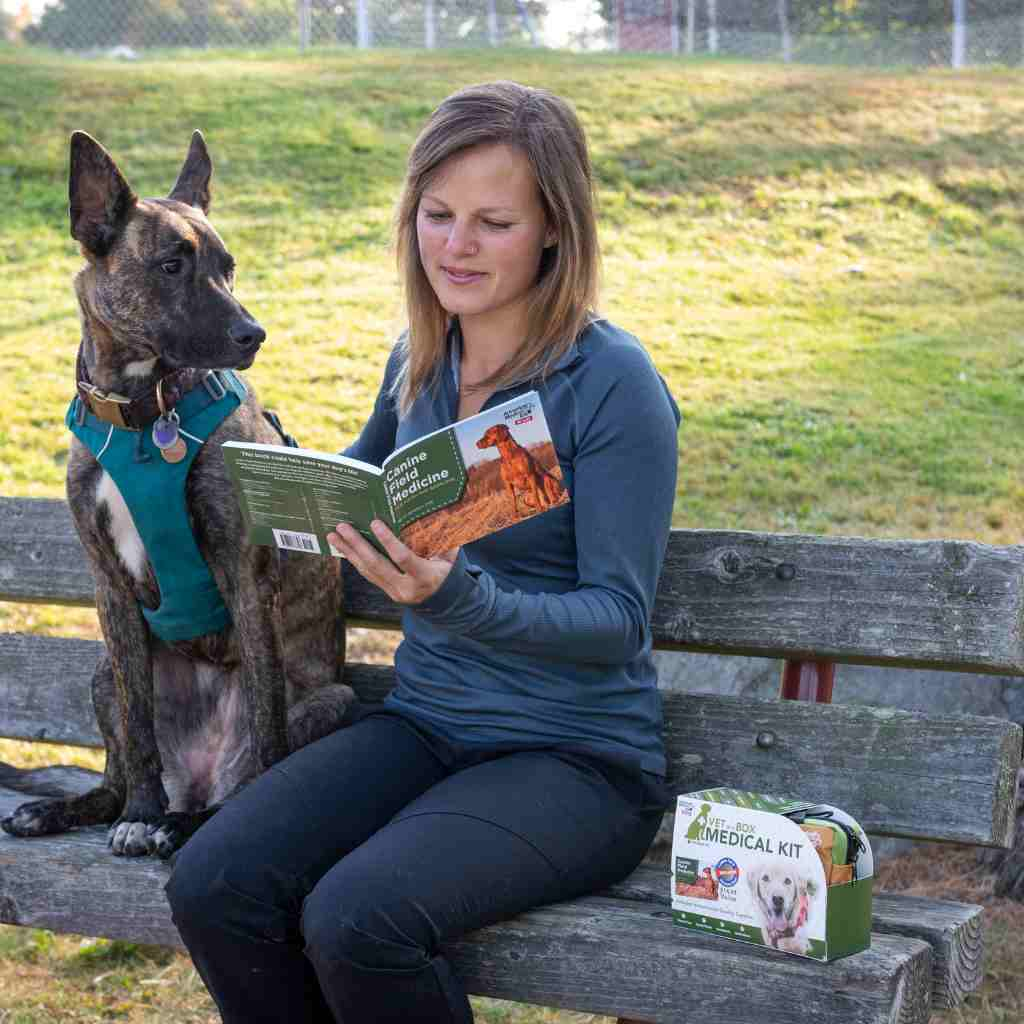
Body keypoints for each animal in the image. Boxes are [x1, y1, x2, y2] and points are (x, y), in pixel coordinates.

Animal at [0, 132, 354, 860]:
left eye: (229, 266)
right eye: (170, 266)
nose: (253, 335)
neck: (142, 411)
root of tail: (196, 780)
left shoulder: (245, 573)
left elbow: (267, 726)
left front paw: (180, 822)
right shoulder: (108, 584)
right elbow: (138, 734)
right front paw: (139, 810)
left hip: (331, 700)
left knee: (242, 778)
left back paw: (185, 822)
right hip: (99, 674)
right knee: (117, 769)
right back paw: (82, 810)